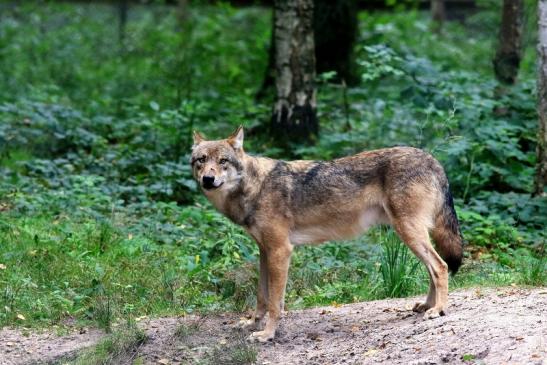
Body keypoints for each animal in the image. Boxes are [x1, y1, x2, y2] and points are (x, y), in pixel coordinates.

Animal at [191, 125, 464, 342]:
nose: (208, 179)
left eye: (223, 161)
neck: (254, 187)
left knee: (440, 266)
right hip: (411, 235)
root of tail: (432, 159)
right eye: (201, 160)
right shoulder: (264, 251)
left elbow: (275, 303)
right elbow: (262, 296)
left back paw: (438, 310)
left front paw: (267, 335)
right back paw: (427, 305)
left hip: (408, 232)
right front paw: (252, 324)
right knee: (432, 268)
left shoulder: (280, 251)